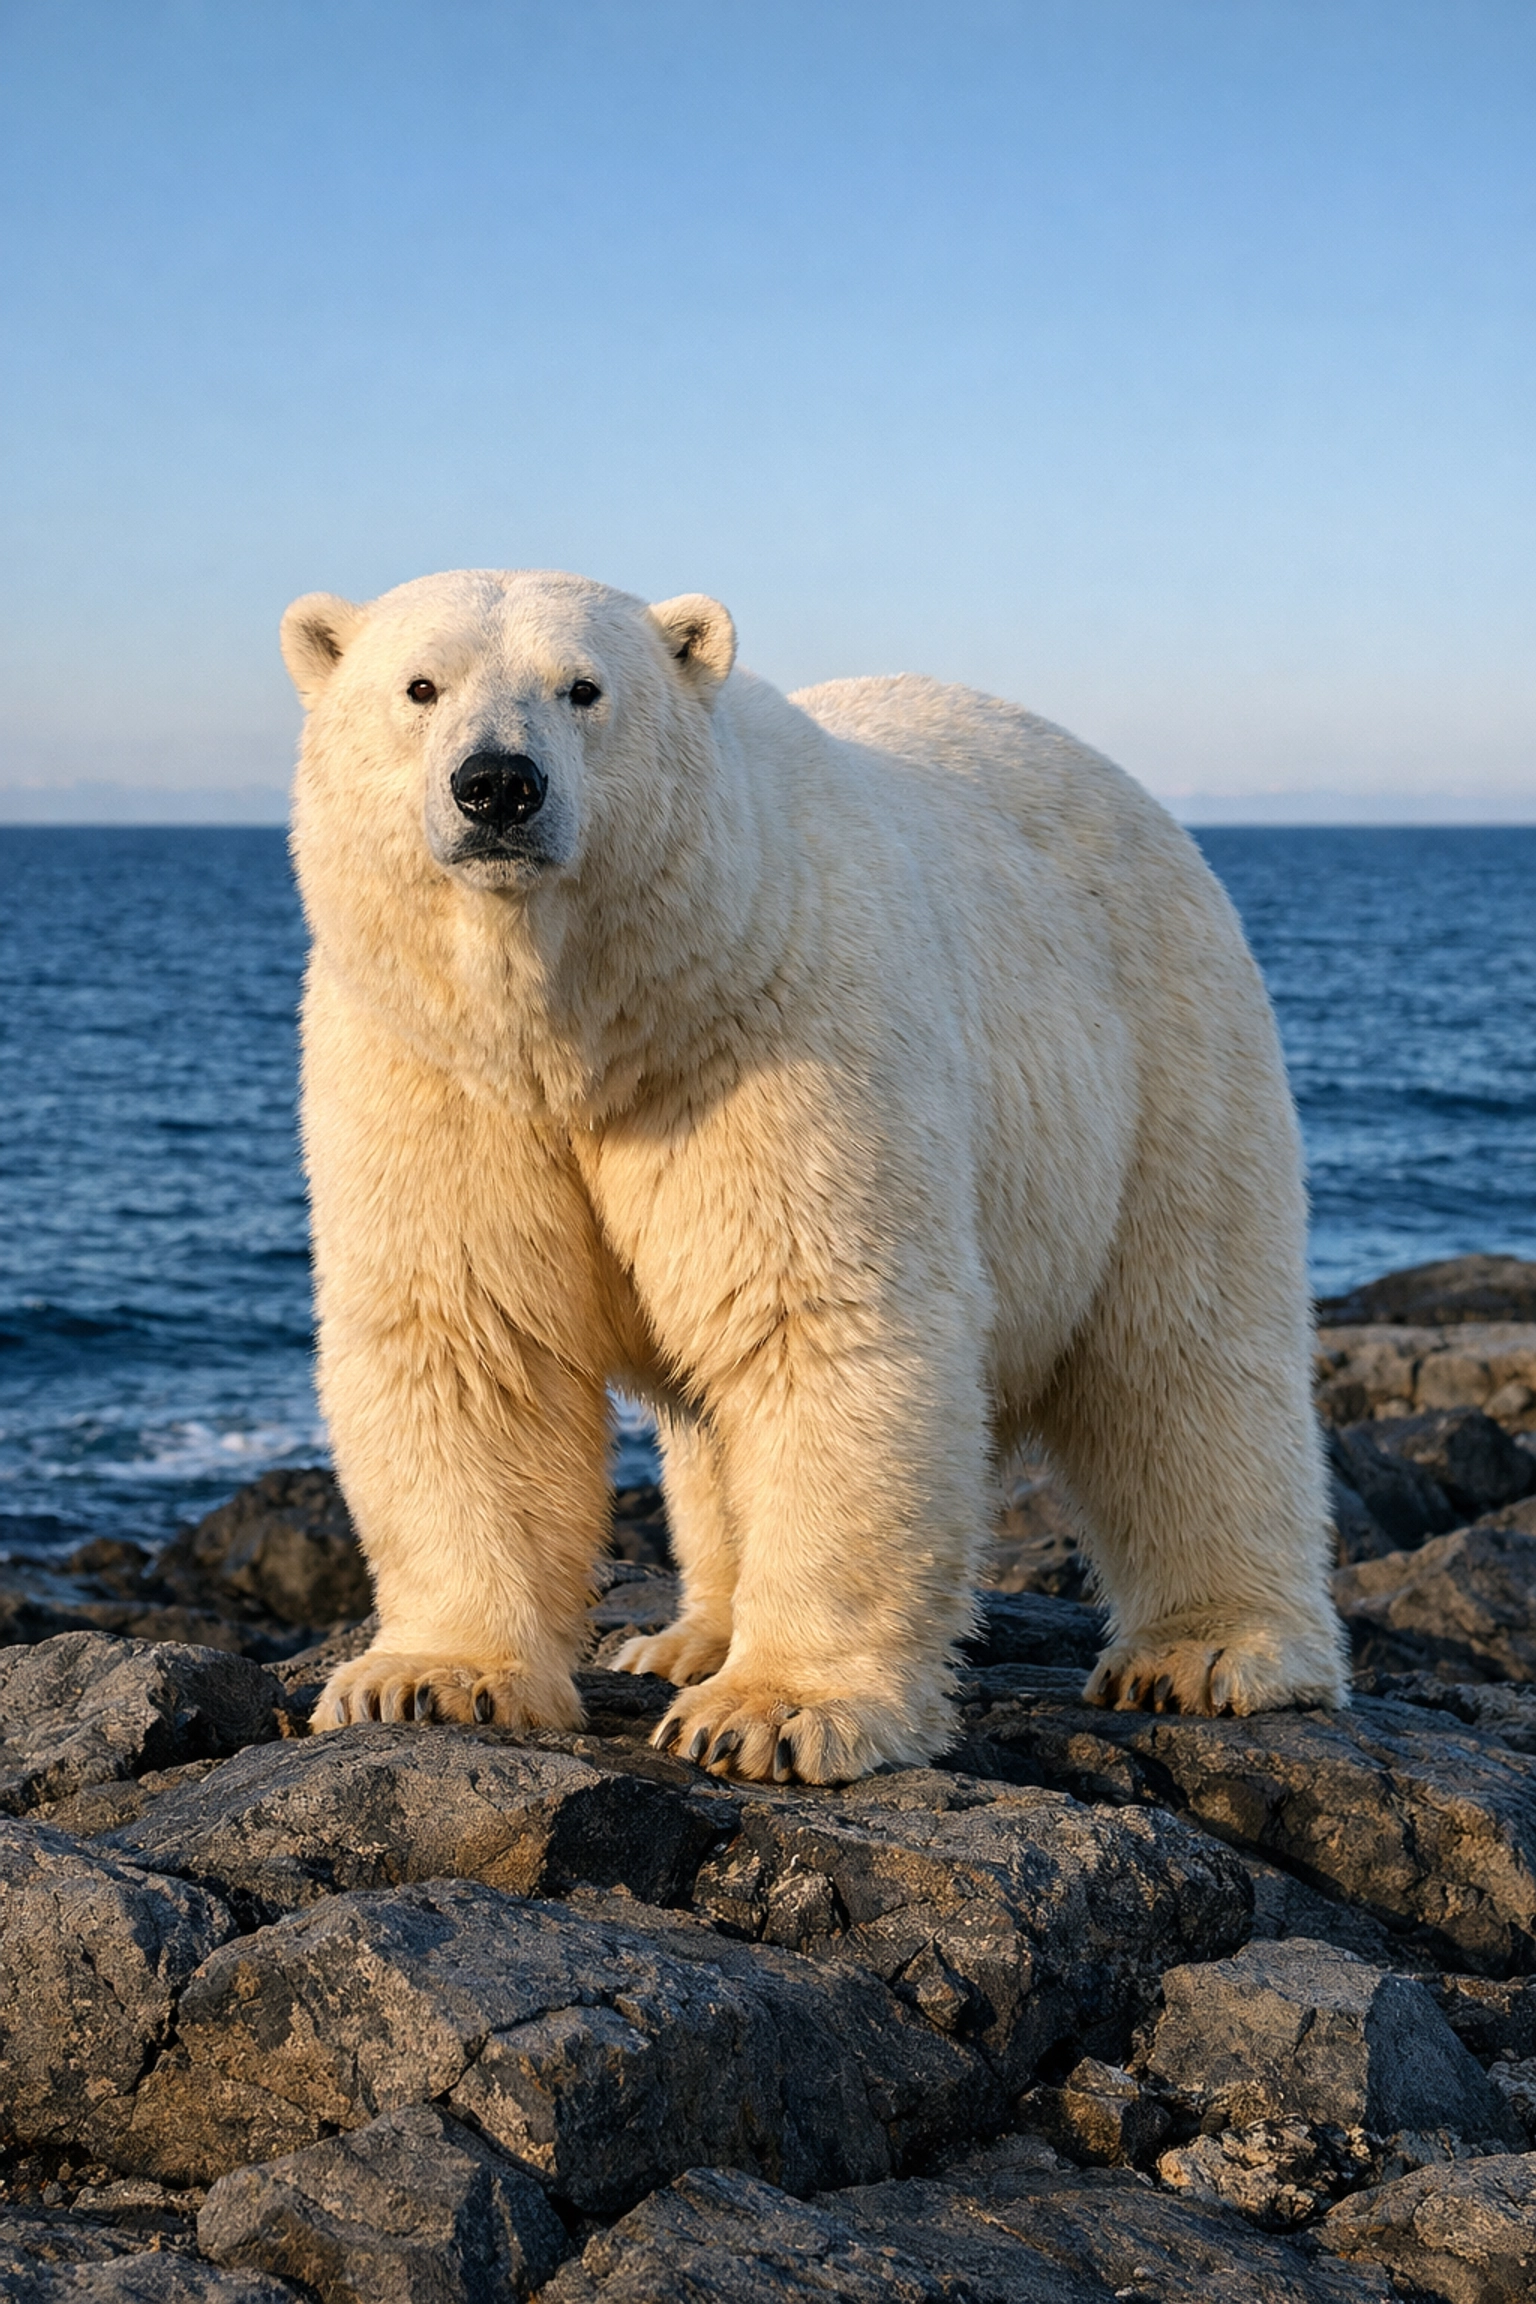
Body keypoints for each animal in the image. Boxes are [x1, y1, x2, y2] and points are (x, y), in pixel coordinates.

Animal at [281, 566, 1346, 1783]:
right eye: (421, 686)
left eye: (583, 688)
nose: (497, 784)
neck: (595, 1025)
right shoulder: (435, 1073)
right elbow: (467, 1333)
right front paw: (429, 1680)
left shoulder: (782, 1027)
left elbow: (816, 1318)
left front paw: (776, 1711)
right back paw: (688, 1635)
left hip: (1165, 1053)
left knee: (1184, 1349)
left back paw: (1212, 1652)